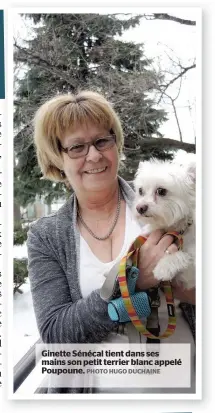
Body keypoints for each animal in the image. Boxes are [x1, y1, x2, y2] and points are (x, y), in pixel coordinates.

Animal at [134, 150, 196, 288]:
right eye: (140, 191)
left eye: (161, 191)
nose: (139, 208)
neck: (171, 229)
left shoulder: (191, 275)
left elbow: (185, 255)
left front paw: (164, 268)